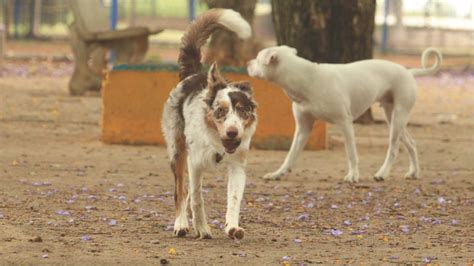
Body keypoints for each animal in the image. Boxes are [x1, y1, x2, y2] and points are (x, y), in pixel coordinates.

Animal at [163, 9, 260, 240]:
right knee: (180, 191)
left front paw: (232, 227)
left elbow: (234, 199)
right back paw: (181, 224)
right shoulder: (195, 163)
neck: (217, 144)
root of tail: (192, 74)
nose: (233, 132)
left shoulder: (237, 166)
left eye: (242, 111)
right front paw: (202, 228)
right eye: (220, 111)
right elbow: (197, 198)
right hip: (177, 151)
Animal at [246, 45, 442, 183]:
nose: (247, 63)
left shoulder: (345, 123)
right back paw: (414, 172)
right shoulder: (303, 128)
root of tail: (409, 71)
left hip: (398, 118)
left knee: (393, 149)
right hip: (392, 117)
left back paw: (382, 173)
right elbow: (291, 155)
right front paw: (278, 174)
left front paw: (353, 175)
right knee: (411, 144)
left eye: (257, 58)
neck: (308, 79)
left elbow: (351, 153)